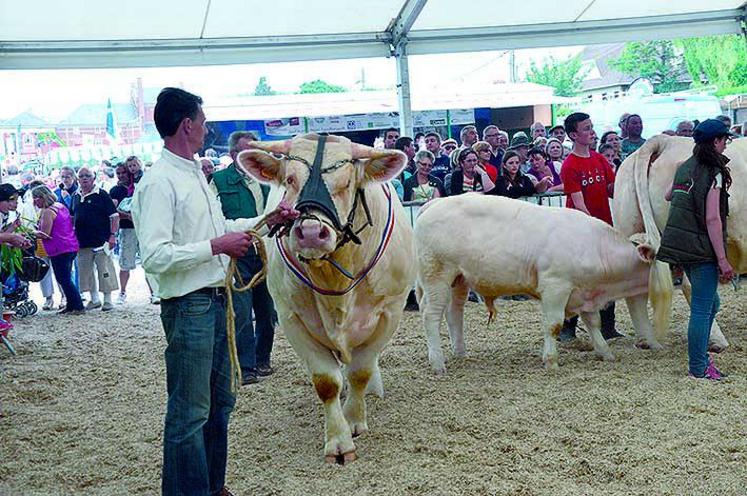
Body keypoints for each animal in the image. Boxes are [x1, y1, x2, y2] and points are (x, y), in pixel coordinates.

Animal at [237, 134, 414, 464]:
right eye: (290, 180)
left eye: (347, 182)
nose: (309, 232)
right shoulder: (292, 318)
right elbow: (327, 382)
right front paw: (339, 440)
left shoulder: (390, 312)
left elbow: (359, 372)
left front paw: (354, 418)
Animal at [414, 194, 672, 372]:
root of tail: (433, 204)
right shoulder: (555, 287)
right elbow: (553, 325)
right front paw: (551, 360)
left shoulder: (584, 293)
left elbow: (593, 323)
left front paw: (604, 352)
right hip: (436, 277)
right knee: (431, 314)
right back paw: (437, 362)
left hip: (459, 279)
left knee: (454, 312)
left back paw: (460, 352)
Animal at [612, 135, 747, 348]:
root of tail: (666, 140)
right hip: (693, 245)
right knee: (692, 286)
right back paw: (716, 341)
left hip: (627, 226)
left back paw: (649, 343)